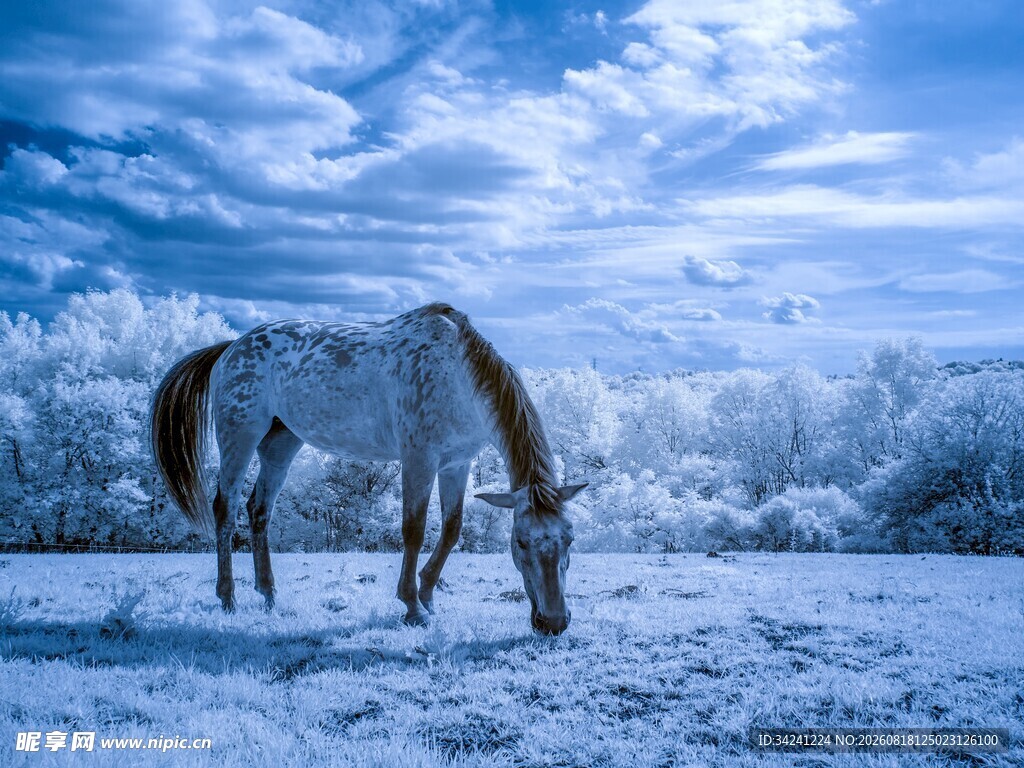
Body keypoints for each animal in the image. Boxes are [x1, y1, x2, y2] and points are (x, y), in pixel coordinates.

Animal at [151, 302, 586, 635]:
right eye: (521, 543)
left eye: (569, 540)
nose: (553, 622)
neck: (458, 375)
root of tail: (231, 347)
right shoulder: (419, 460)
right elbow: (413, 530)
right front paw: (412, 605)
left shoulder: (456, 464)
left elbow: (451, 530)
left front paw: (428, 594)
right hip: (239, 437)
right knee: (224, 509)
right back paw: (228, 597)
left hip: (280, 444)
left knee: (259, 510)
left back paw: (269, 594)